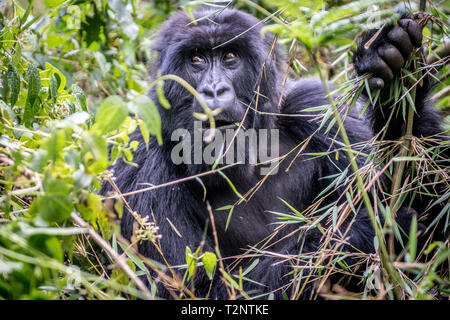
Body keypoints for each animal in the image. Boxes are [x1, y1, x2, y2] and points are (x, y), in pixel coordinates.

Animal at [100, 6, 448, 298]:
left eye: (230, 56)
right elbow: (194, 289)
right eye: (196, 60)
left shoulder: (315, 108)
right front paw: (360, 234)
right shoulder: (138, 166)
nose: (214, 90)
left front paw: (395, 74)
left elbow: (433, 209)